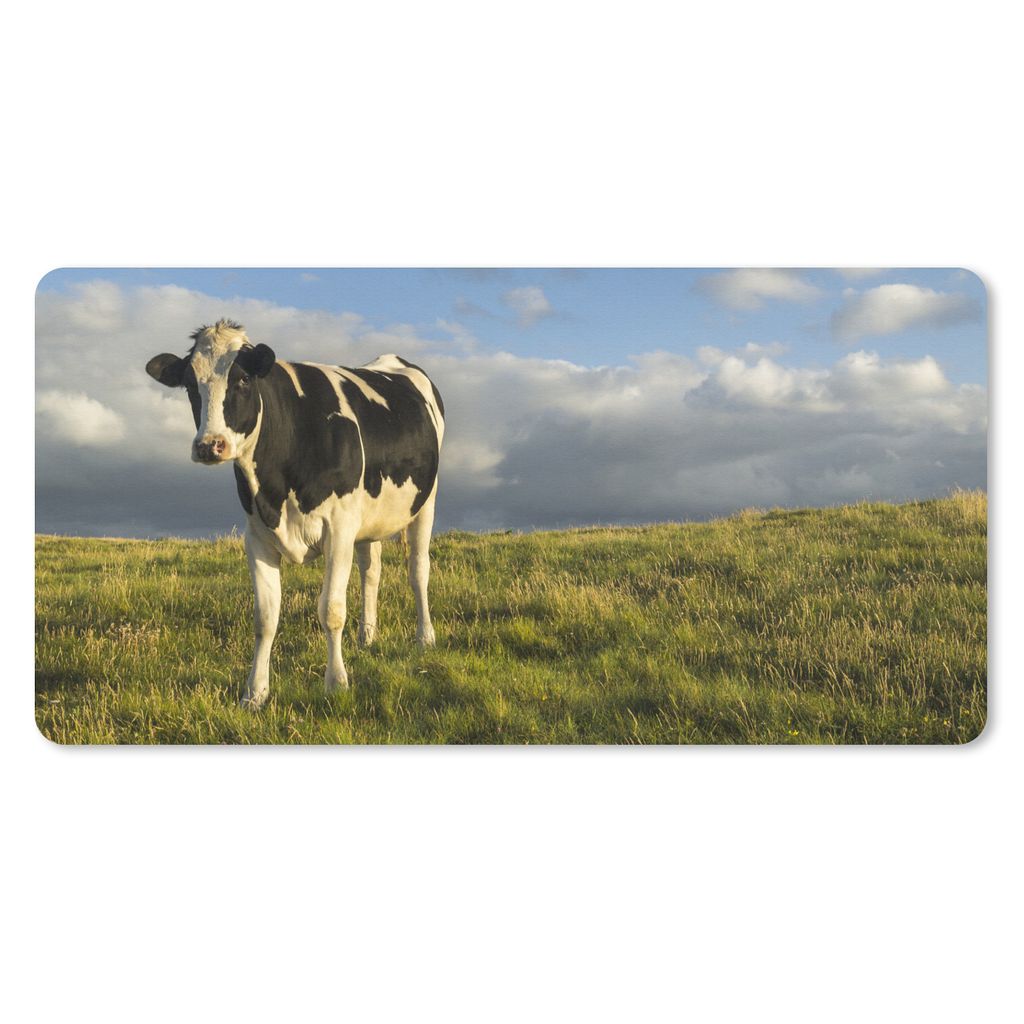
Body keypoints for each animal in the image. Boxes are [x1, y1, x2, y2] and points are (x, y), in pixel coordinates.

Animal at [145, 319, 445, 707]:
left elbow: (331, 610)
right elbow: (265, 617)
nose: (210, 445)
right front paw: (254, 693)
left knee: (418, 570)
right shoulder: (257, 536)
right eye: (189, 383)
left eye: (243, 379)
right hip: (369, 518)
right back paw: (367, 636)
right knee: (371, 571)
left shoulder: (339, 530)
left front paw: (336, 683)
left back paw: (425, 638)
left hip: (426, 502)